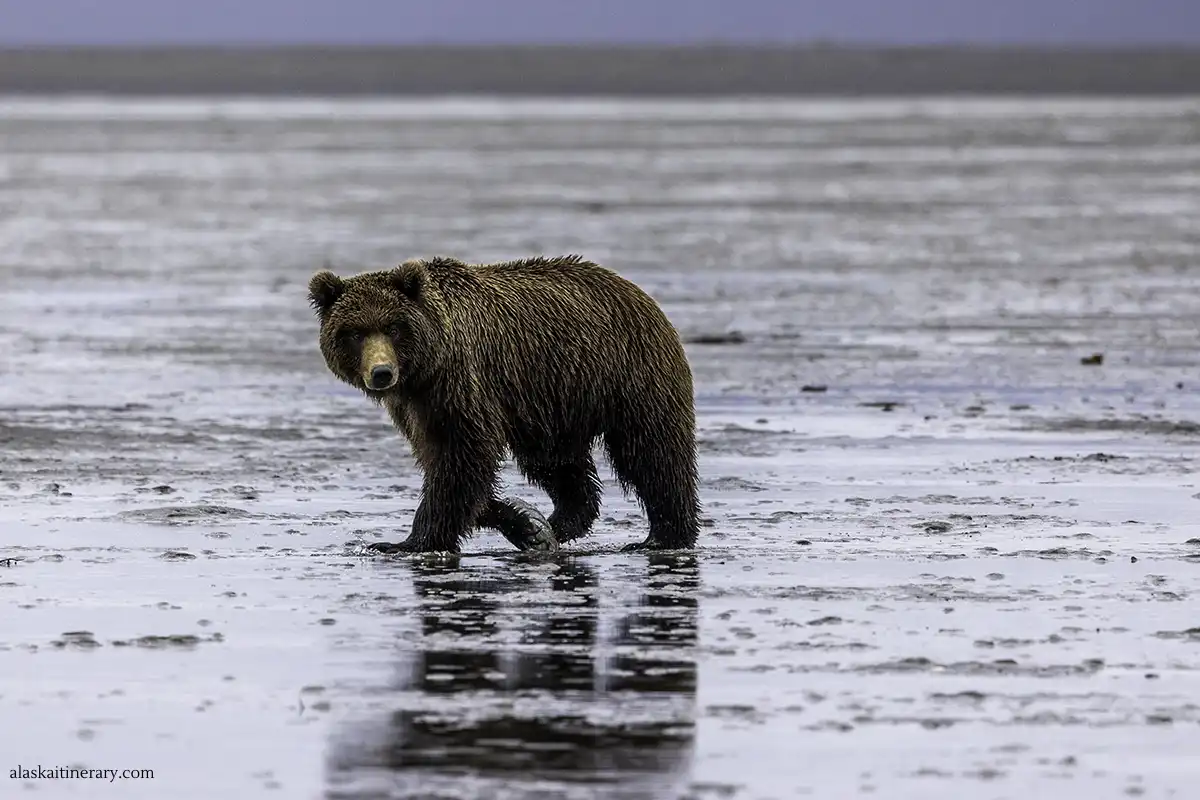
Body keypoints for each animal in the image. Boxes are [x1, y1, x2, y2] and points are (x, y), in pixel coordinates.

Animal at [309, 256, 700, 556]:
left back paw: (663, 536)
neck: (425, 369)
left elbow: (464, 454)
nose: (381, 372)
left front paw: (405, 543)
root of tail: (639, 292)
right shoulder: (416, 405)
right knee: (555, 463)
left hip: (627, 375)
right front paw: (525, 524)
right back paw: (561, 522)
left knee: (652, 452)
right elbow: (448, 464)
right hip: (553, 403)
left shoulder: (459, 383)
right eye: (355, 332)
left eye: (392, 327)